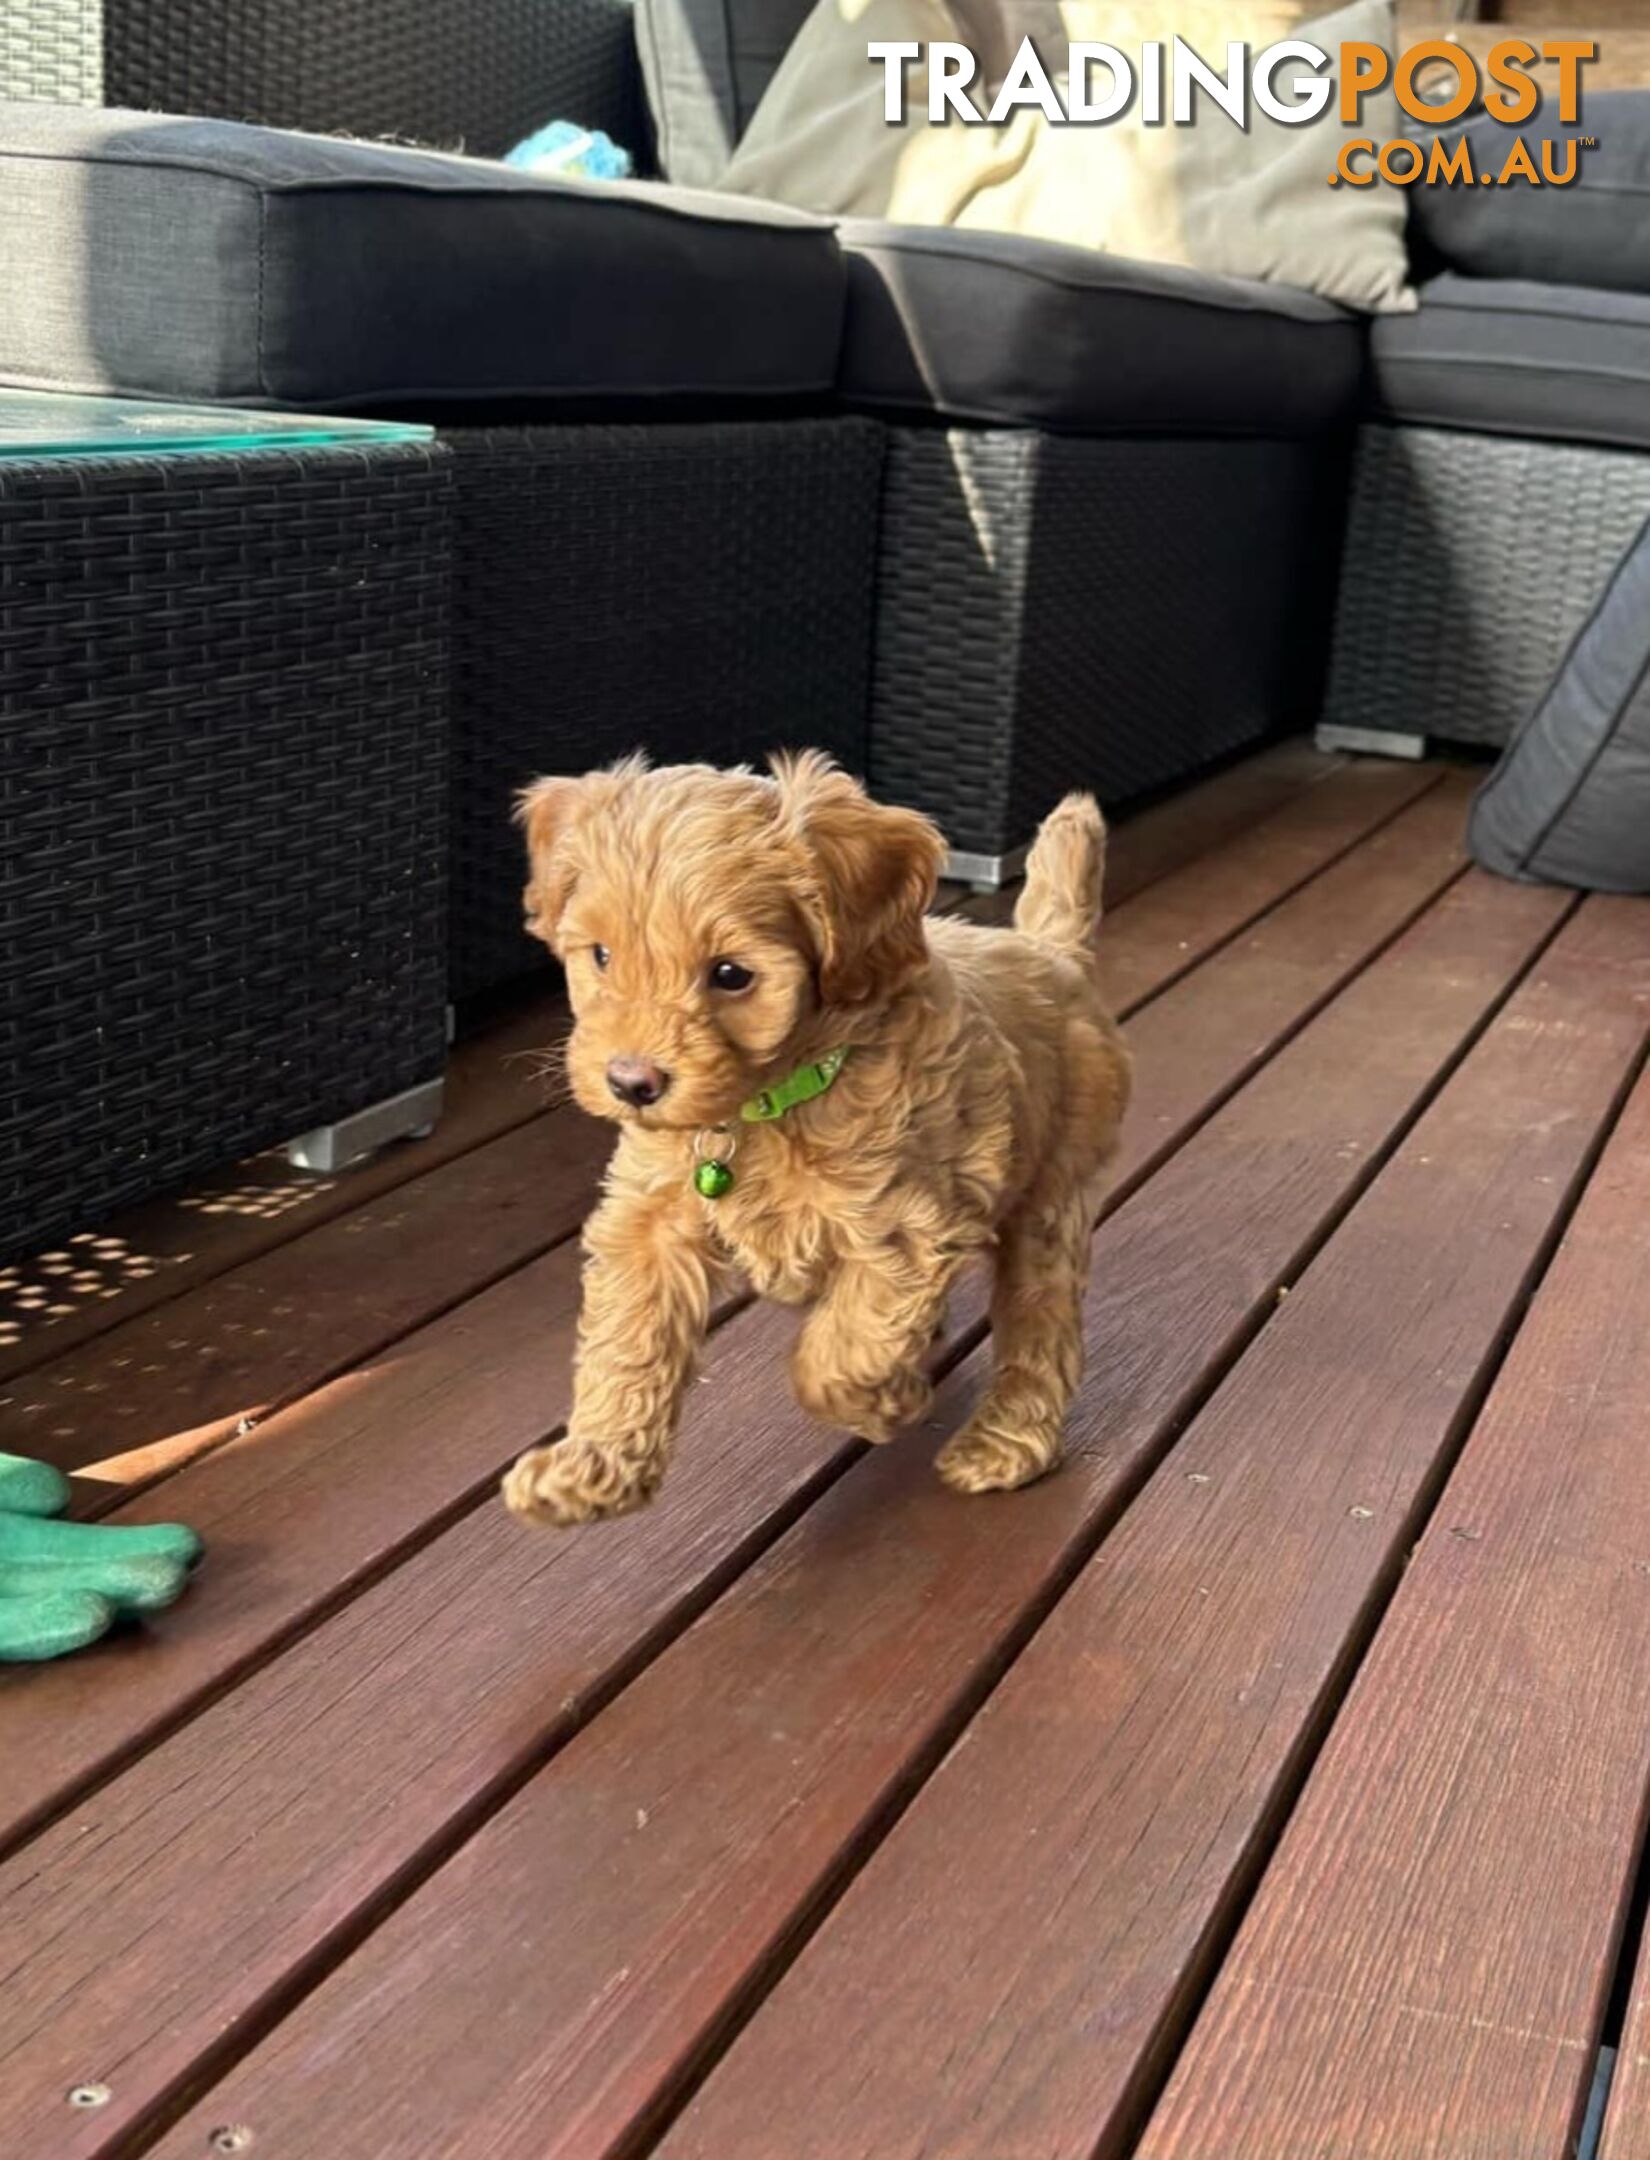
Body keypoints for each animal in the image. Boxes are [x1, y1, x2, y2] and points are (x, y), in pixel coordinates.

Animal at [496, 751, 1131, 1529]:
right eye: (602, 956)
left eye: (731, 974)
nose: (630, 1082)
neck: (767, 1104)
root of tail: (1048, 951)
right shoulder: (648, 1224)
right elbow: (629, 1338)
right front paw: (591, 1466)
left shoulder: (904, 1227)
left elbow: (836, 1353)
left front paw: (889, 1404)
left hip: (1051, 1195)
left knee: (1041, 1324)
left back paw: (1005, 1440)